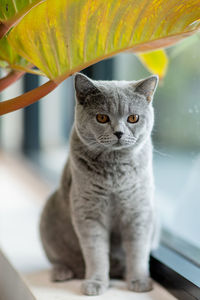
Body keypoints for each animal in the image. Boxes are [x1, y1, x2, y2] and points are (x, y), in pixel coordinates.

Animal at [39, 72, 159, 296]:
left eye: (133, 118)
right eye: (102, 118)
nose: (119, 133)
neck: (114, 172)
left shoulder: (138, 211)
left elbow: (138, 251)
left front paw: (139, 281)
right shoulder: (88, 214)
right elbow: (96, 254)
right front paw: (95, 283)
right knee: (57, 259)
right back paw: (62, 273)